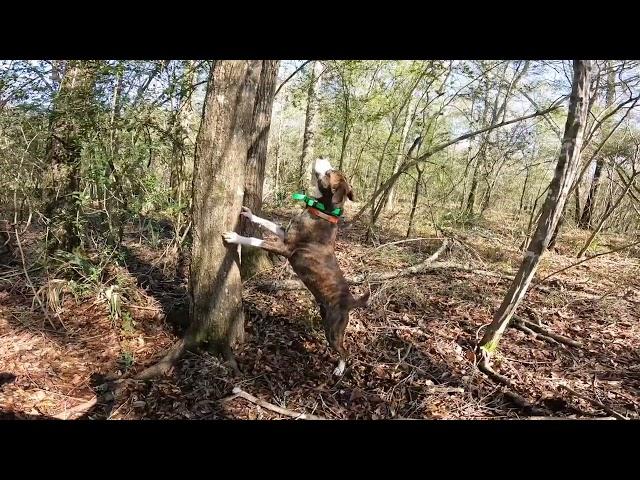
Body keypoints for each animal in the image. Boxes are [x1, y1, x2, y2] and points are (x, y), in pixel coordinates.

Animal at [221, 158, 368, 376]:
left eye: (329, 172)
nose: (322, 156)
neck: (322, 211)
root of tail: (351, 301)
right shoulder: (284, 232)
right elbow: (267, 222)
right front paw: (250, 214)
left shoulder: (285, 248)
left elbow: (257, 241)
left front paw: (235, 237)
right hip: (326, 321)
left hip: (334, 330)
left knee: (345, 351)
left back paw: (340, 369)